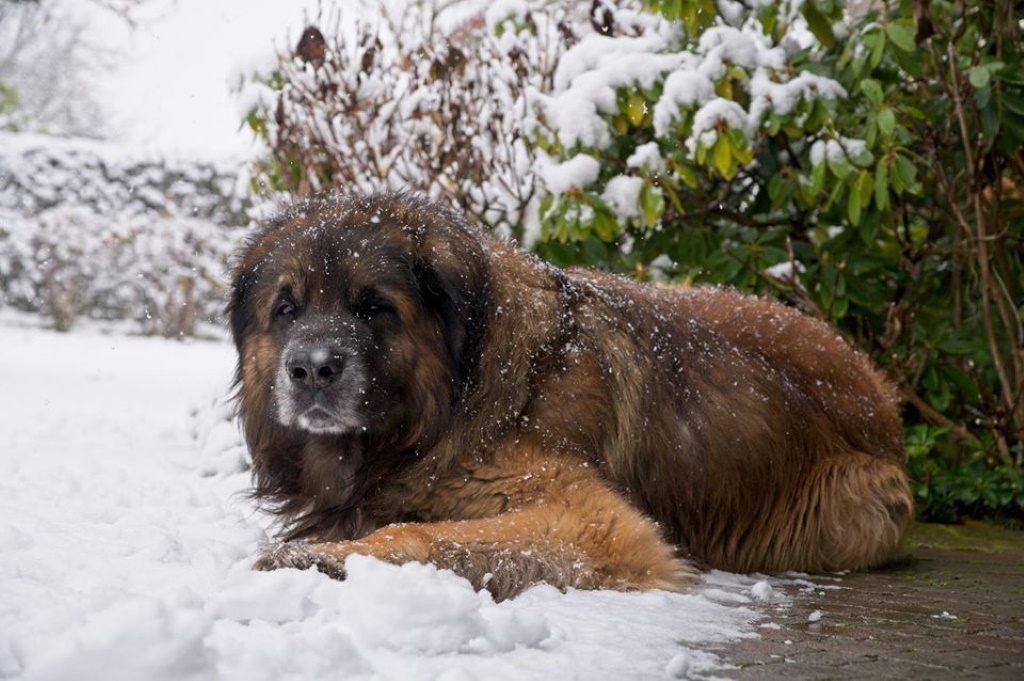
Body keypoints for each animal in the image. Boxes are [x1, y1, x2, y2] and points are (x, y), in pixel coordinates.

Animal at [230, 191, 913, 602]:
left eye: (374, 308)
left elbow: (425, 533)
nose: (311, 369)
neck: (456, 402)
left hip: (855, 510)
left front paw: (325, 559)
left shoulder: (589, 521)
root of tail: (879, 393)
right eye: (286, 309)